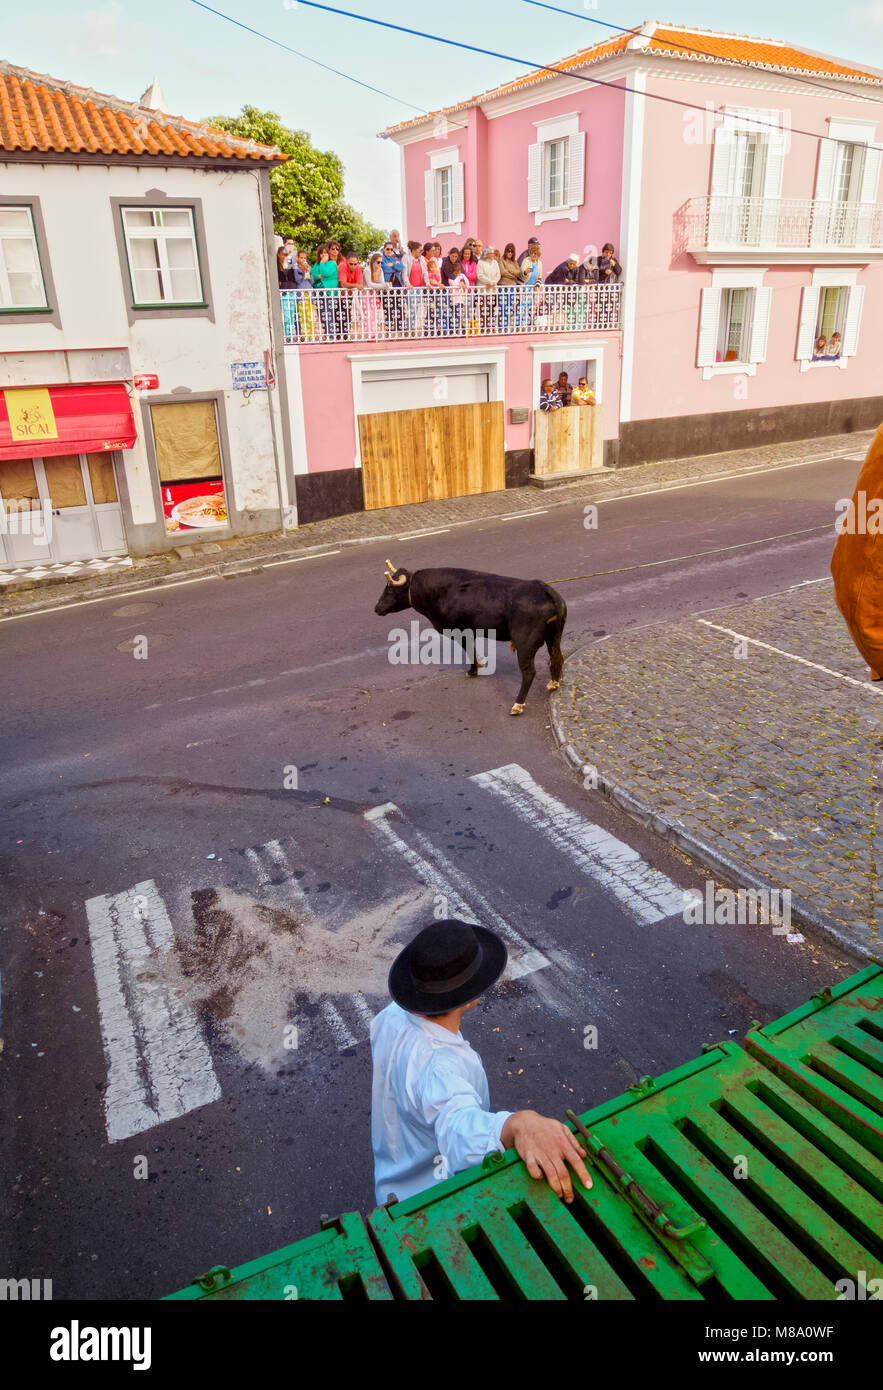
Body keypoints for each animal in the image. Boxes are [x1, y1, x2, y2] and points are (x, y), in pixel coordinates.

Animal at [372, 561, 567, 717]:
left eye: (391, 589)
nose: (376, 608)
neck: (443, 593)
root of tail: (544, 589)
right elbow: (472, 648)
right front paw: (480, 663)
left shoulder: (460, 630)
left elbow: (468, 649)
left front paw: (473, 671)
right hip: (554, 637)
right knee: (557, 657)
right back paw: (553, 683)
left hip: (525, 644)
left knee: (529, 672)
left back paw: (517, 705)